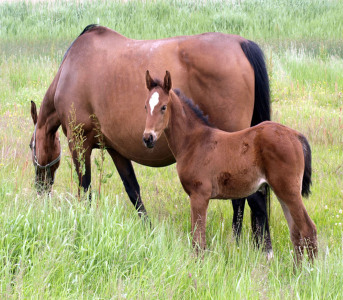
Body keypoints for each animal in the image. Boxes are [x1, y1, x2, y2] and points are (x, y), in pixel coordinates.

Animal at [29, 24, 272, 252]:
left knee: (248, 198)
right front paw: (149, 230)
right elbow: (133, 190)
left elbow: (85, 186)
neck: (70, 71)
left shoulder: (79, 143)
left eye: (31, 146)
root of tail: (241, 44)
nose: (39, 190)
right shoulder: (116, 149)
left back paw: (242, 243)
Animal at [142, 71, 318, 264]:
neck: (194, 142)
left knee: (308, 229)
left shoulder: (199, 195)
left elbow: (198, 240)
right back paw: (297, 270)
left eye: (163, 107)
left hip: (289, 191)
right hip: (282, 192)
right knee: (295, 232)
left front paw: (198, 266)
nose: (148, 138)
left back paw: (310, 271)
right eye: (145, 107)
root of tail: (296, 135)